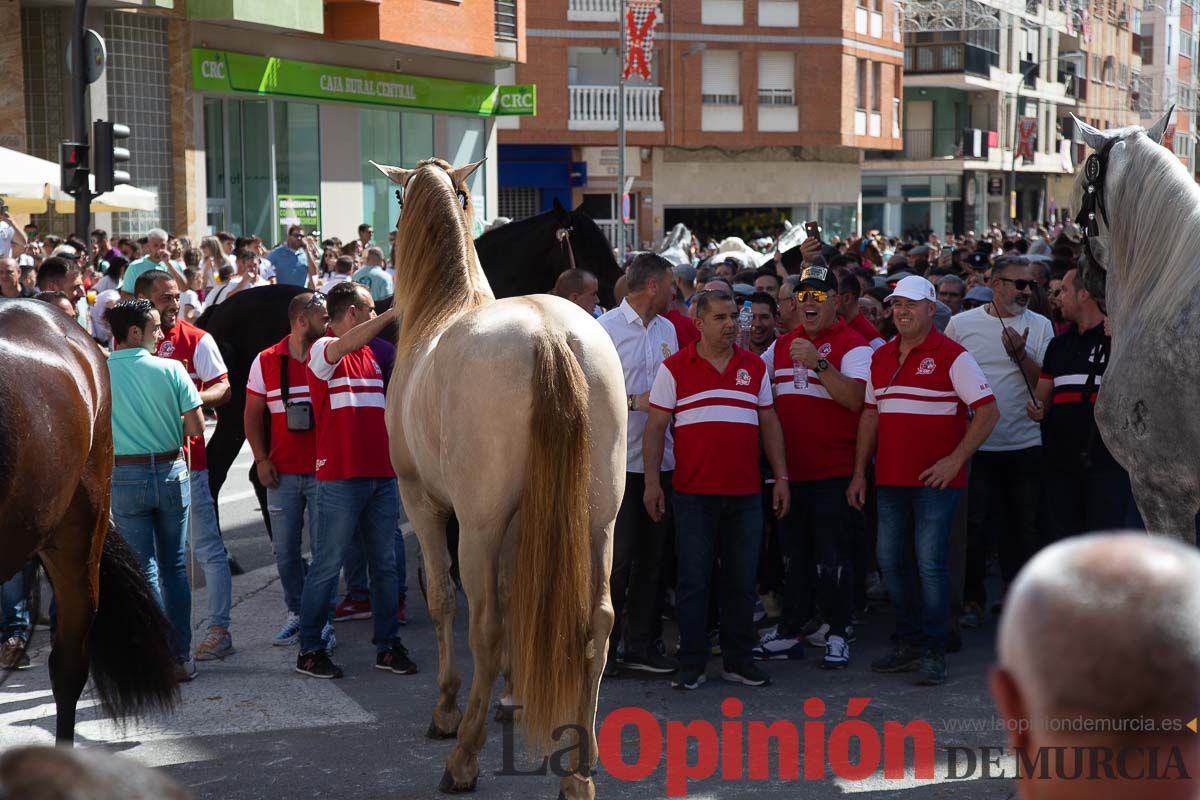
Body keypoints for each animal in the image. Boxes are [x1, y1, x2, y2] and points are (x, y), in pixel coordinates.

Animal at [369, 158, 624, 800]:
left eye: (399, 198)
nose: (614, 284)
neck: (442, 311)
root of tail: (550, 336)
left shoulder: (426, 502)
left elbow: (443, 599)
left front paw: (448, 709)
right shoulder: (519, 524)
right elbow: (515, 598)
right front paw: (510, 694)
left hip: (478, 526)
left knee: (480, 625)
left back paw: (462, 757)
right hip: (599, 521)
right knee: (598, 620)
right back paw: (580, 766)